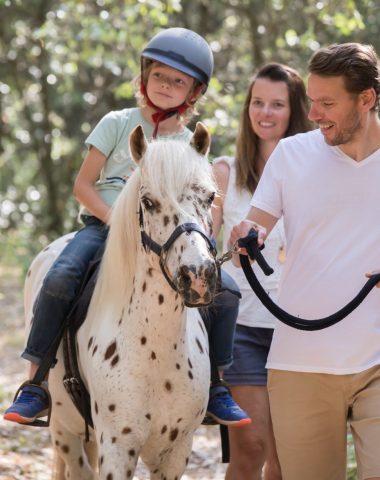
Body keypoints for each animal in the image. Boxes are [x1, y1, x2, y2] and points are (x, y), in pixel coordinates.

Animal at [24, 123, 217, 476]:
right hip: (64, 431)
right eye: (149, 202)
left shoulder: (177, 451)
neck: (157, 350)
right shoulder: (118, 447)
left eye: (209, 197)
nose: (197, 275)